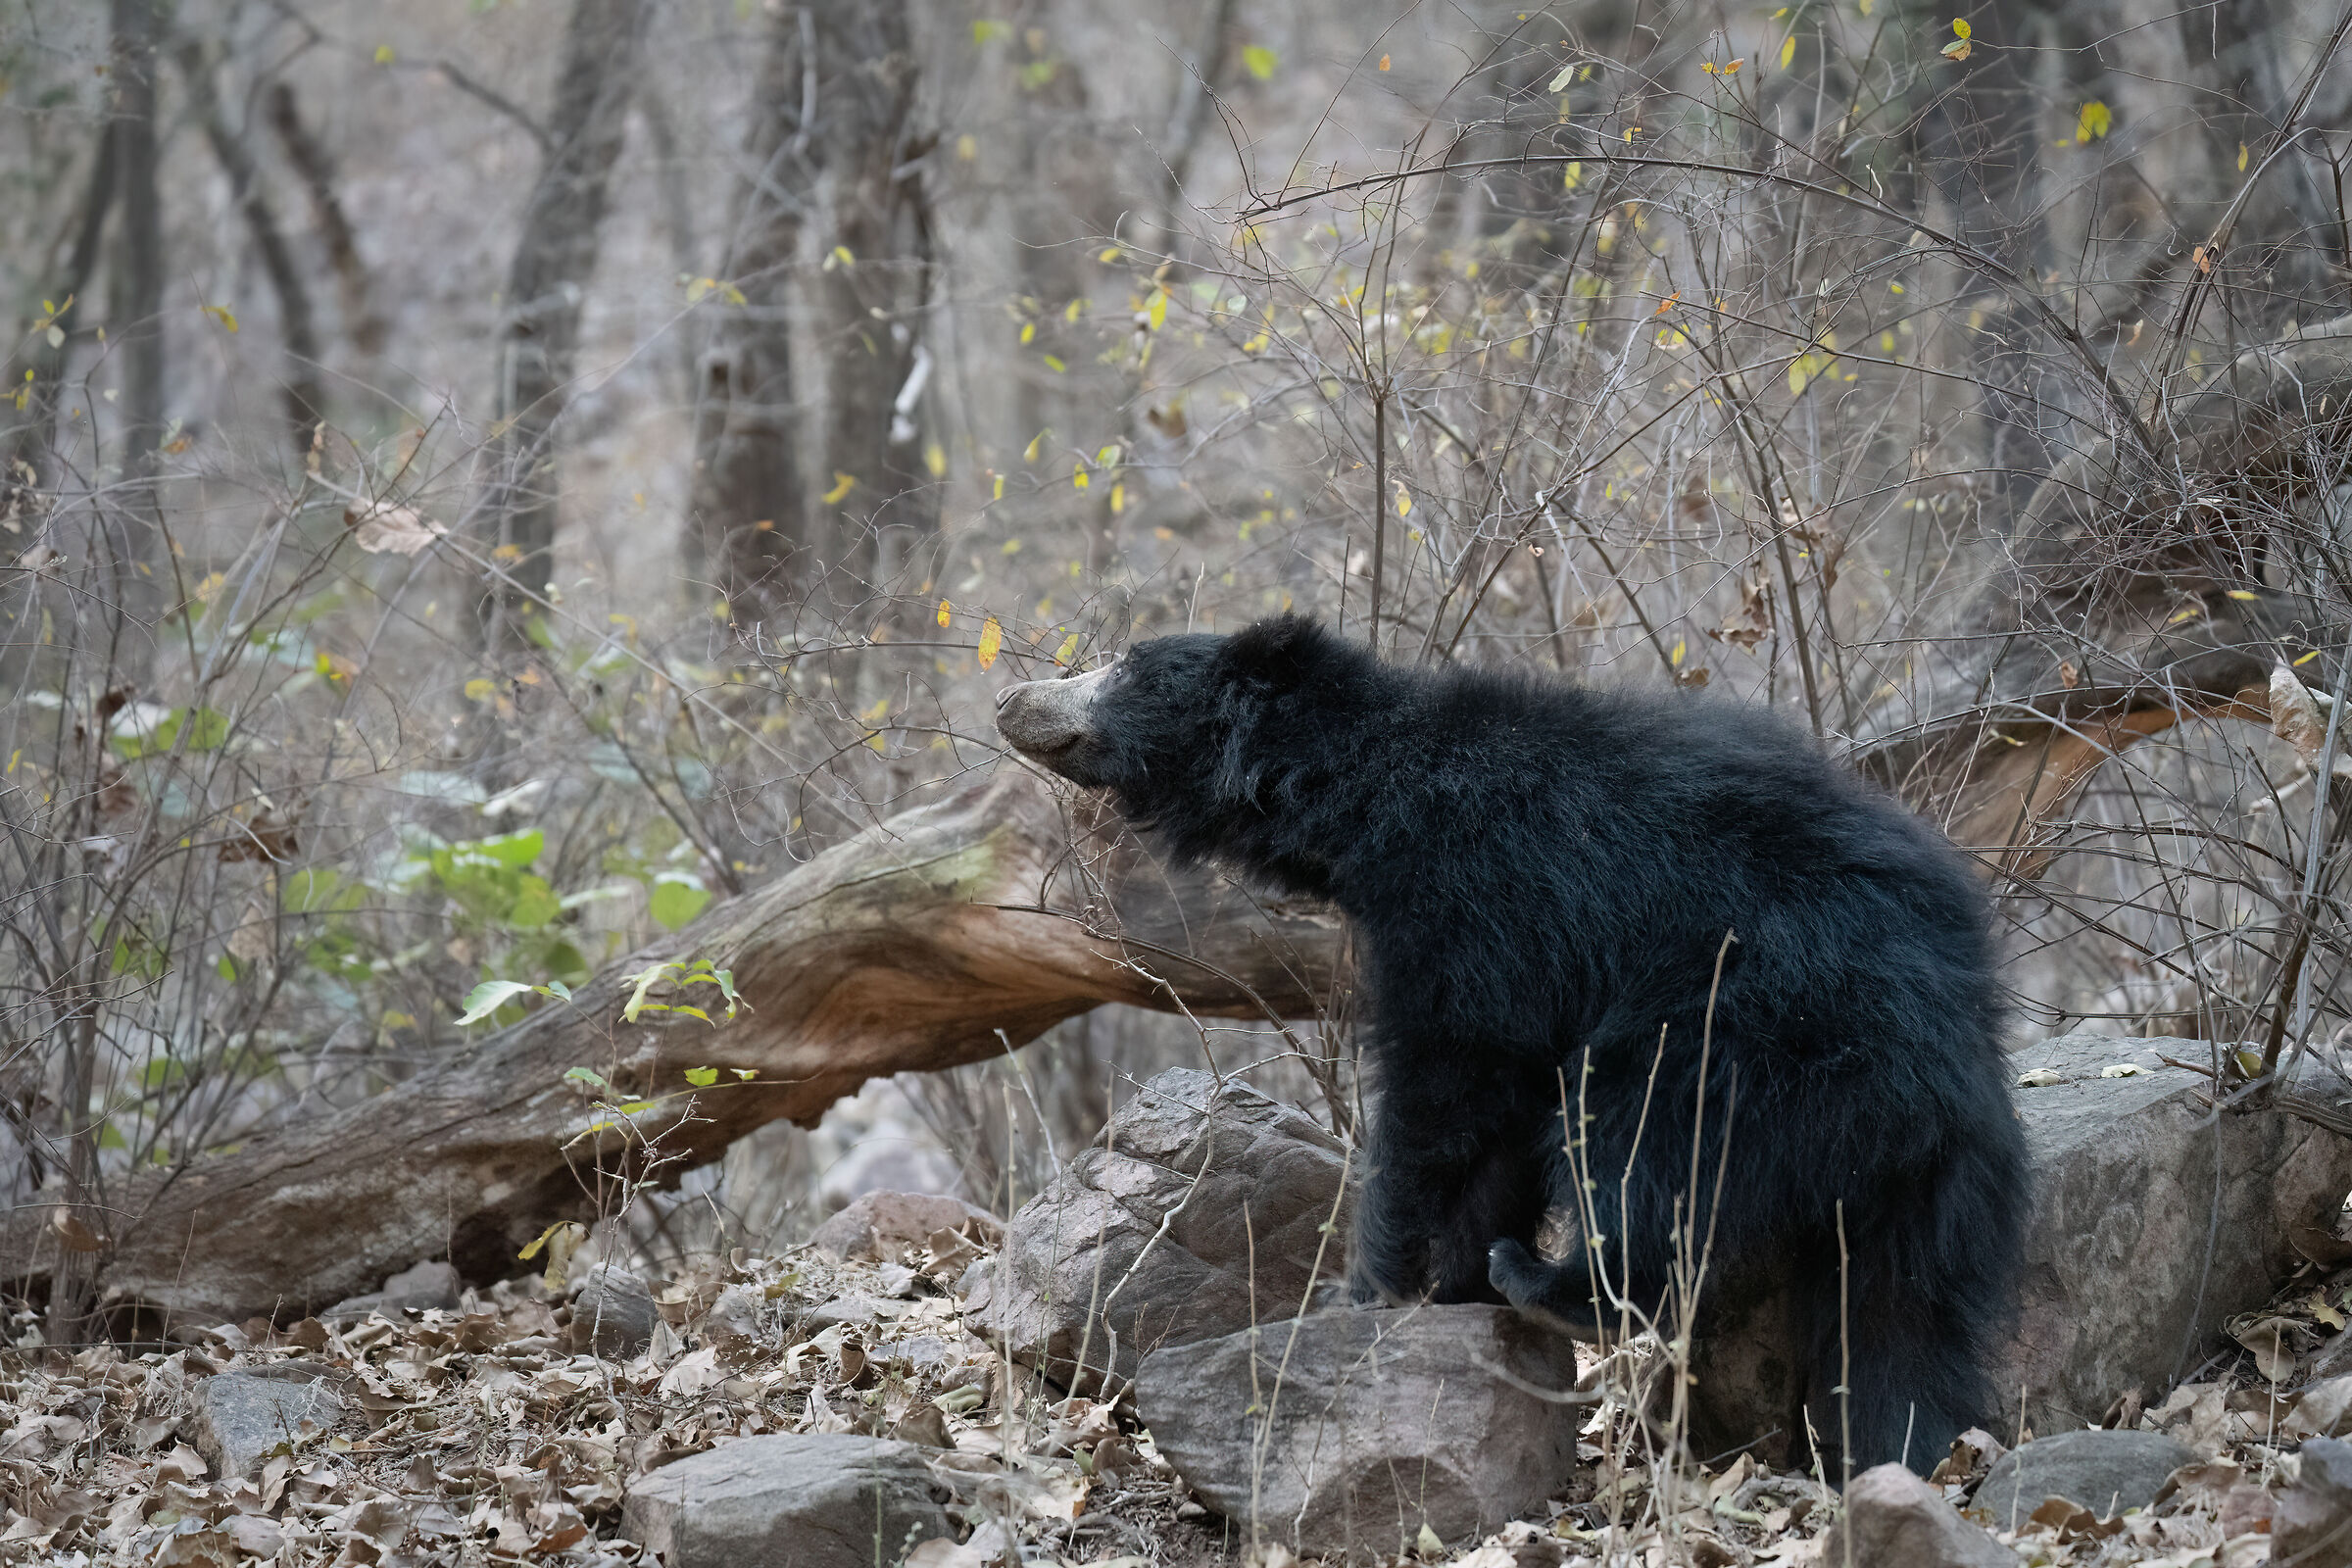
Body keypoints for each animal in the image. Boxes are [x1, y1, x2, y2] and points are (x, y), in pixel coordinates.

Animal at [994, 614, 2027, 1477]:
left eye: (1122, 667)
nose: (1009, 701)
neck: (1367, 795)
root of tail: (1946, 1074)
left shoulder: (1479, 903)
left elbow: (1453, 1085)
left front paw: (1375, 1288)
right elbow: (1497, 1105)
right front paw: (1440, 1286)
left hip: (1752, 1027)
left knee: (1643, 1146)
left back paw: (1553, 1282)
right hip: (1929, 1183)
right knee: (1902, 1314)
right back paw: (1893, 1450)